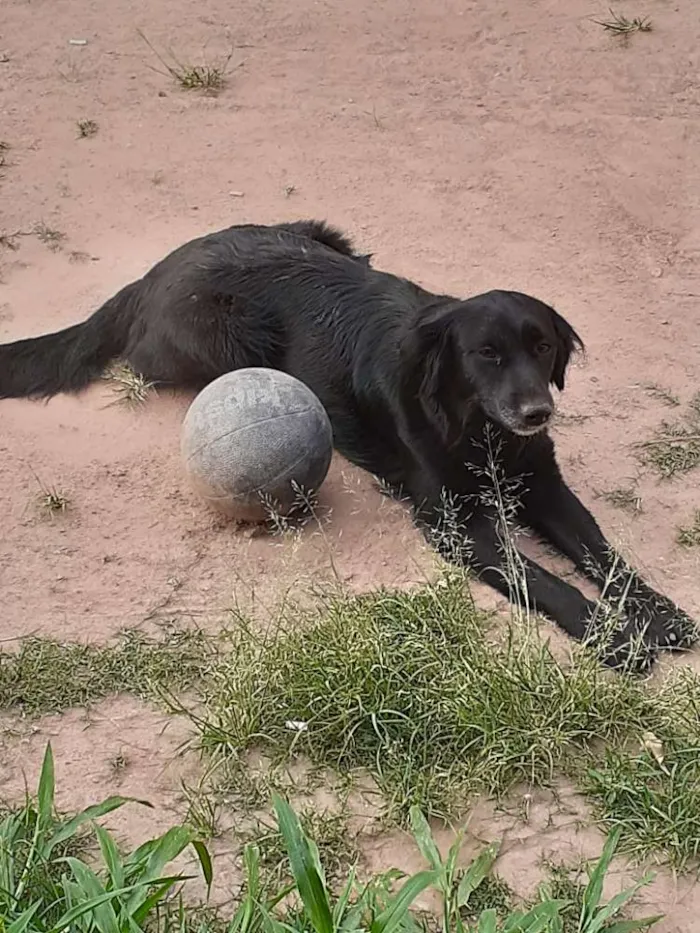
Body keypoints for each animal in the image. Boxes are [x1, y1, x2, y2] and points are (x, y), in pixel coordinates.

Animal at [1, 221, 696, 668]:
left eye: (543, 346)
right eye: (487, 354)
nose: (536, 411)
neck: (481, 431)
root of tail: (154, 272)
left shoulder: (546, 487)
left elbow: (604, 553)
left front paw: (659, 614)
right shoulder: (455, 523)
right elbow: (541, 579)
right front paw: (614, 637)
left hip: (333, 237)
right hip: (232, 338)